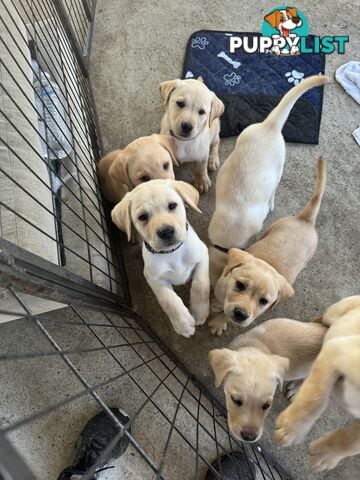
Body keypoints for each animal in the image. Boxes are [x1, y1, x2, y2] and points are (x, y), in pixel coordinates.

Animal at [111, 177, 210, 338]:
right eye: (143, 217)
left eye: (172, 206)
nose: (166, 231)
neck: (172, 252)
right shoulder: (152, 277)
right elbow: (167, 300)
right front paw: (183, 323)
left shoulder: (202, 253)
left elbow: (201, 285)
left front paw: (199, 312)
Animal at [211, 158, 326, 334]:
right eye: (240, 285)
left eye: (263, 301)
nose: (241, 314)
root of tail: (305, 220)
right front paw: (216, 305)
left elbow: (226, 315)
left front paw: (219, 321)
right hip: (272, 227)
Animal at [276, 296, 360, 472]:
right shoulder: (336, 350)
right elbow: (314, 397)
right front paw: (291, 429)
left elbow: (353, 442)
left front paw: (326, 455)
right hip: (334, 314)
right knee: (321, 326)